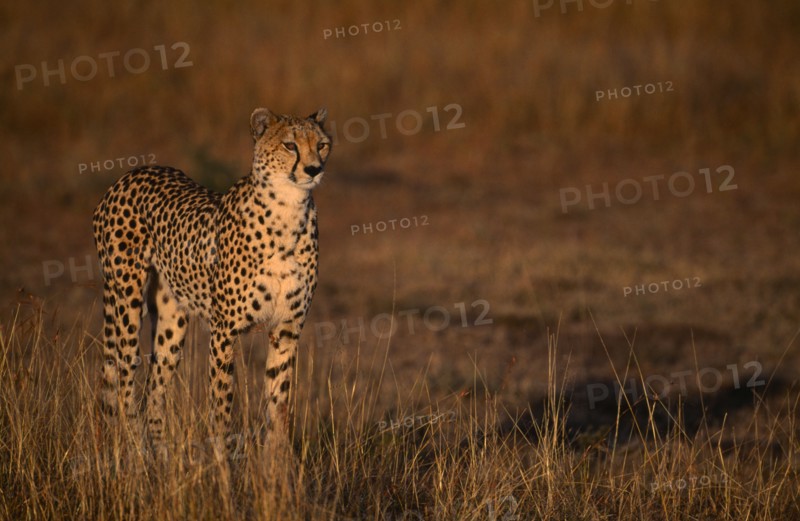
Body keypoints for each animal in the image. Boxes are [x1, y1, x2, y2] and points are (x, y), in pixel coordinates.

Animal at [92, 107, 331, 454]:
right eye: (290, 145)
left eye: (322, 144)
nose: (314, 169)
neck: (288, 211)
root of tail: (132, 173)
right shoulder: (223, 332)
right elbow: (221, 403)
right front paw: (222, 460)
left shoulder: (286, 330)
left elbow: (279, 404)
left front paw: (277, 461)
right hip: (125, 303)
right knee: (123, 380)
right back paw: (136, 451)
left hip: (172, 319)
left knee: (154, 387)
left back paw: (159, 454)